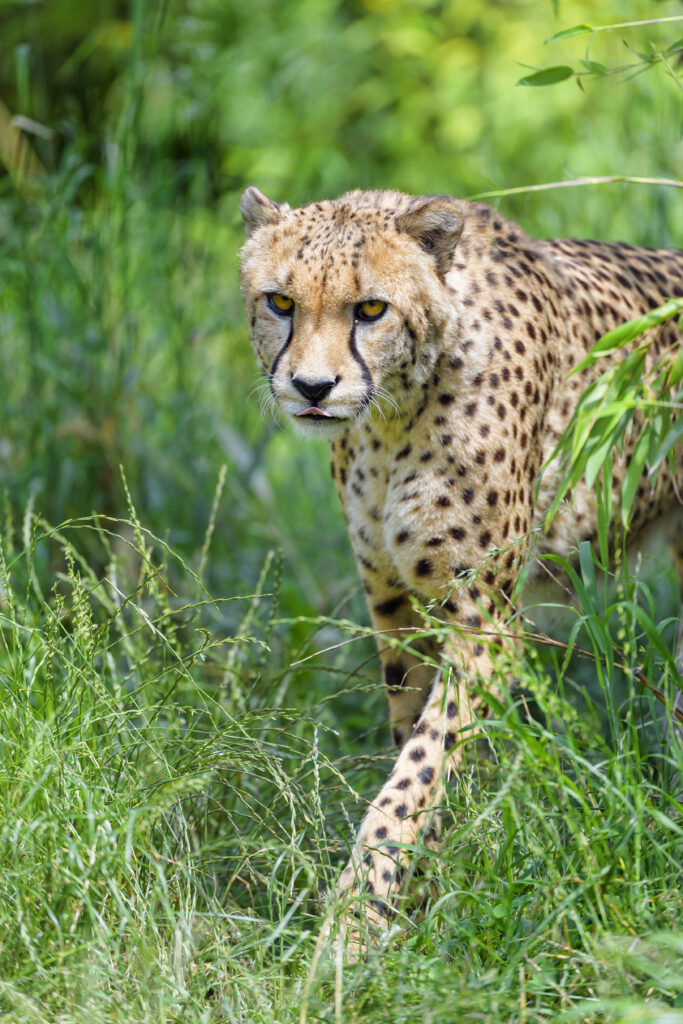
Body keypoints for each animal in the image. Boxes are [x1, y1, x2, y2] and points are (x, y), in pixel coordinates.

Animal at [239, 185, 683, 947]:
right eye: (280, 302)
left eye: (370, 309)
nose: (312, 387)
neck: (393, 415)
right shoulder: (396, 607)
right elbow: (416, 748)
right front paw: (417, 892)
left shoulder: (484, 624)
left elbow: (416, 771)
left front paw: (356, 919)